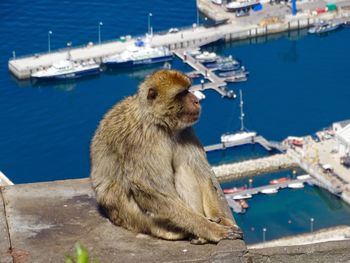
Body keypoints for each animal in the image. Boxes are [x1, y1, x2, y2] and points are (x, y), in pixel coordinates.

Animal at [90, 69, 242, 244]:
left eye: (188, 90)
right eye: (181, 94)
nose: (196, 100)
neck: (159, 123)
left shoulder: (186, 131)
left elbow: (202, 173)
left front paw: (220, 219)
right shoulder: (144, 139)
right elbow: (154, 192)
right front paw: (213, 230)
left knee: (186, 167)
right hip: (136, 219)